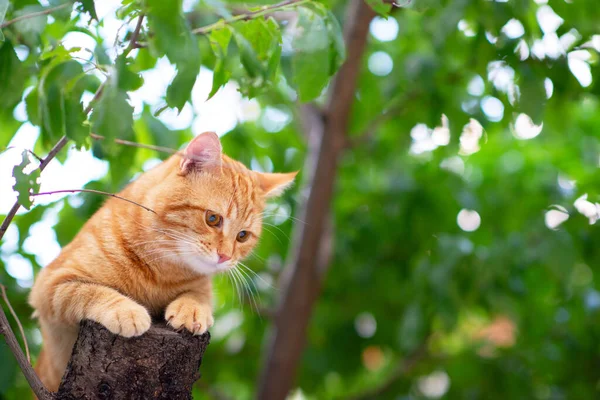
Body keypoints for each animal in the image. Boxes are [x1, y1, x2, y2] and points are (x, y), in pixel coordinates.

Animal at [29, 132, 296, 390]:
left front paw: (193, 309)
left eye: (243, 236)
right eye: (212, 219)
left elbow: (199, 295)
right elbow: (90, 291)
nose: (225, 257)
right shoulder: (50, 285)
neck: (162, 271)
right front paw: (126, 310)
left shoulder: (201, 285)